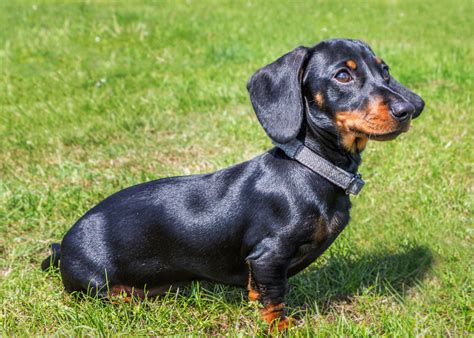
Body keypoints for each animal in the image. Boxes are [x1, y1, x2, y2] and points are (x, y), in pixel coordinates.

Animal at [42, 39, 424, 330]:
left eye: (384, 70)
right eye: (343, 75)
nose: (409, 109)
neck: (311, 167)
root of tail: (62, 247)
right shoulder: (269, 254)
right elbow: (274, 297)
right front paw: (280, 326)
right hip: (98, 283)